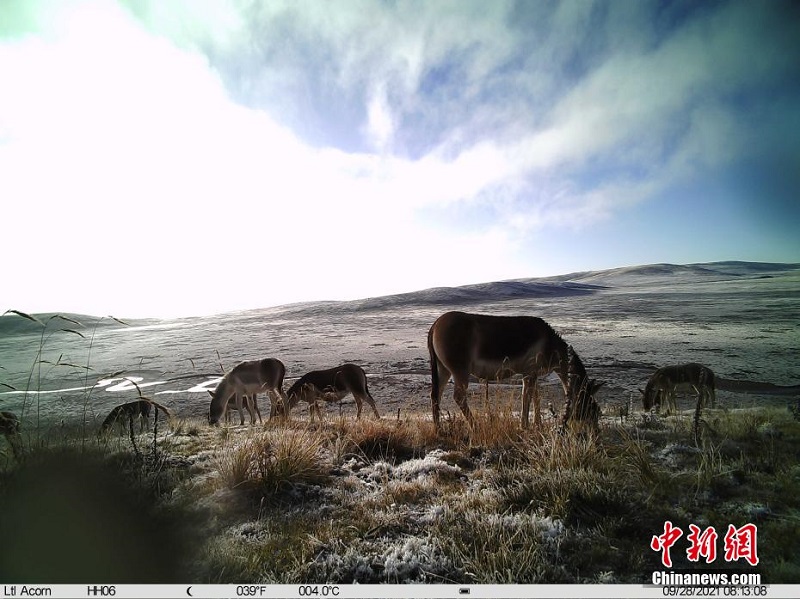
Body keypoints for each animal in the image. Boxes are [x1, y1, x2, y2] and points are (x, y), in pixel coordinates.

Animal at [428, 310, 604, 432]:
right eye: (592, 407)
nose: (596, 432)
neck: (550, 344)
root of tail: (435, 324)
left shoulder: (532, 374)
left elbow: (536, 397)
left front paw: (537, 424)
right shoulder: (529, 373)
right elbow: (527, 397)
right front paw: (524, 426)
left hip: (444, 370)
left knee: (436, 395)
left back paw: (438, 428)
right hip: (460, 371)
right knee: (458, 397)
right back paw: (475, 426)